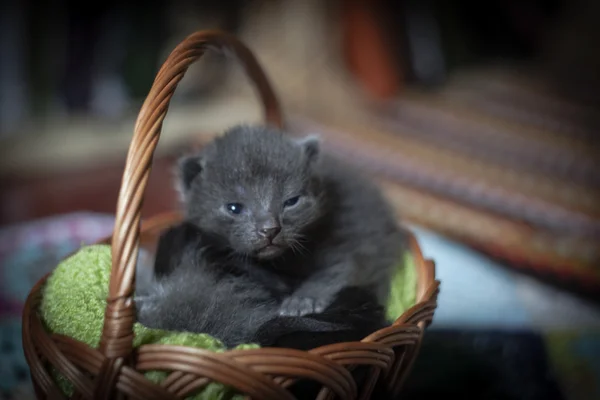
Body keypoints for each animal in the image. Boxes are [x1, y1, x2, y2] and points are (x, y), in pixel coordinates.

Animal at [168, 125, 404, 316]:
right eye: (234, 208)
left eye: (291, 201)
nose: (269, 229)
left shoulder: (349, 240)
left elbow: (334, 271)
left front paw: (304, 300)